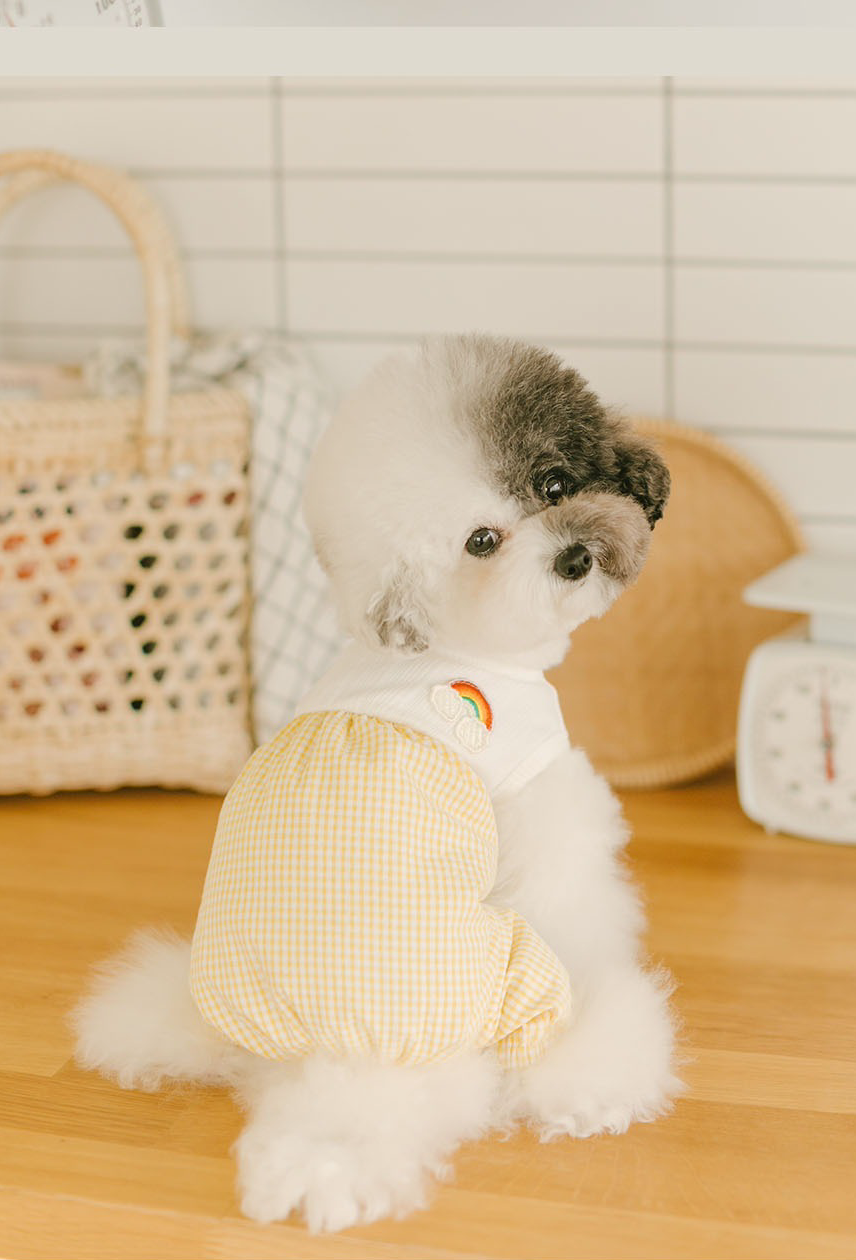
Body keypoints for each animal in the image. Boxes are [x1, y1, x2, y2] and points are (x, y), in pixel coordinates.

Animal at [75, 332, 690, 1229]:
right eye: (480, 543)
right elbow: (582, 901)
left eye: (552, 484)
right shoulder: (541, 809)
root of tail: (347, 1046)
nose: (573, 557)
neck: (456, 643)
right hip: (507, 967)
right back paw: (598, 1079)